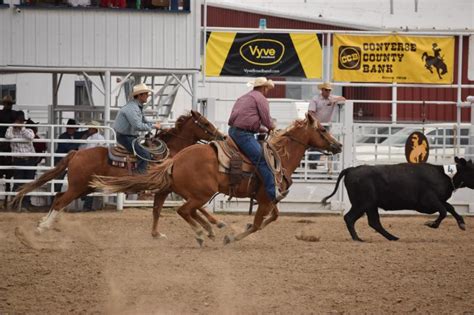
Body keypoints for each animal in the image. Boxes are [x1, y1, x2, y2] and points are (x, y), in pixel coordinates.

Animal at [11, 111, 226, 235]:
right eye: (206, 123)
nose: (222, 136)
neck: (172, 152)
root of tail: (76, 153)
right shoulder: (173, 187)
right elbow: (191, 205)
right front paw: (215, 224)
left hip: (85, 188)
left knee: (58, 196)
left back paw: (43, 221)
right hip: (79, 187)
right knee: (60, 201)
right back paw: (43, 226)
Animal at [92, 113, 342, 247]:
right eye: (322, 130)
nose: (338, 145)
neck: (279, 156)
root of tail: (176, 158)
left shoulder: (270, 199)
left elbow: (272, 218)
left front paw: (236, 228)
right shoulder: (265, 198)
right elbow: (259, 223)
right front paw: (231, 236)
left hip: (190, 192)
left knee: (173, 210)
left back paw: (203, 230)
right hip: (201, 193)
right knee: (184, 210)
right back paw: (203, 233)